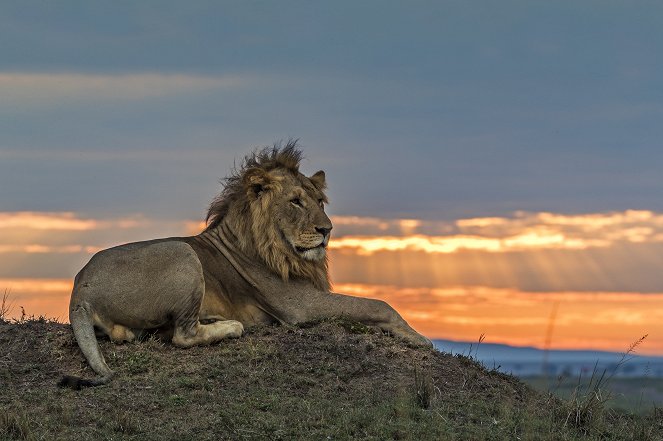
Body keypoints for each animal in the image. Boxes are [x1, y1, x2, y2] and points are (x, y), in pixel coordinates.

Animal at [59, 141, 434, 388]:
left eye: (320, 201)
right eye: (296, 202)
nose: (327, 230)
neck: (279, 249)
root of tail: (79, 292)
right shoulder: (299, 306)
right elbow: (378, 303)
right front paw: (418, 338)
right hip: (183, 253)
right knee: (183, 335)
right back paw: (230, 326)